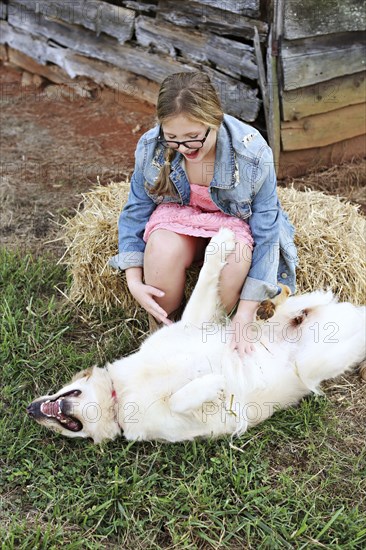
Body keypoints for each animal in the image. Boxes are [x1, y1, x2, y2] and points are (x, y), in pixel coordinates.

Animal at [27, 231, 364, 446]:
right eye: (68, 433)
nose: (30, 410)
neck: (118, 396)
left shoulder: (191, 324)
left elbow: (204, 279)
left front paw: (222, 240)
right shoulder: (181, 422)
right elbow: (180, 398)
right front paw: (214, 382)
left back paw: (293, 306)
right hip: (319, 361)